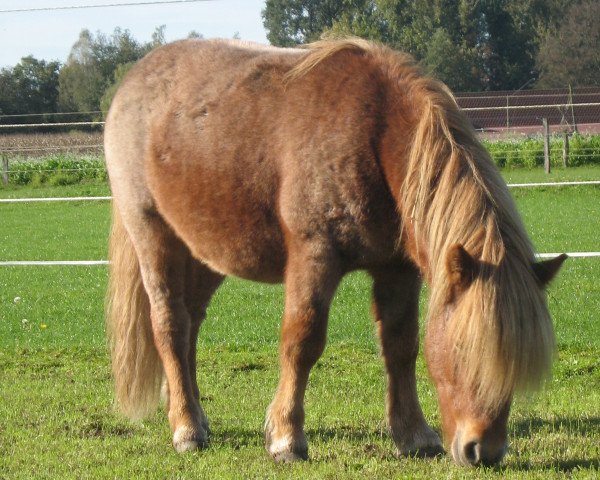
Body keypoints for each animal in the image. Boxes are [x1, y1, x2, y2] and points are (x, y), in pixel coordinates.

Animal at [104, 39, 568, 466]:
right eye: (466, 350)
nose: (483, 451)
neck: (374, 132)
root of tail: (132, 82)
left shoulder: (398, 270)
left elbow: (401, 345)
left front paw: (414, 436)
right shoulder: (315, 257)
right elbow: (302, 341)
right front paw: (287, 438)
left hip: (206, 252)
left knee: (191, 325)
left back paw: (194, 415)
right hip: (153, 235)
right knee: (170, 324)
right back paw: (185, 428)